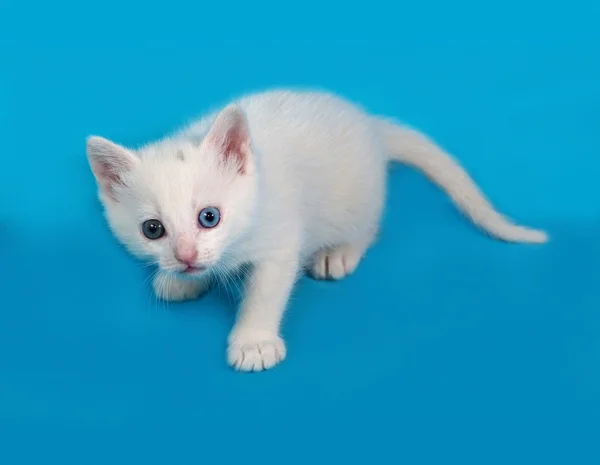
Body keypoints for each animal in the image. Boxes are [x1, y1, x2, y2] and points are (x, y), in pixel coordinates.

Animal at [85, 89, 548, 372]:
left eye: (209, 217)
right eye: (153, 229)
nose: (185, 257)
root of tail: (371, 126)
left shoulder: (280, 242)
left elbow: (265, 293)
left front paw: (253, 342)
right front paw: (180, 279)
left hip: (356, 199)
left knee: (368, 226)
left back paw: (339, 253)